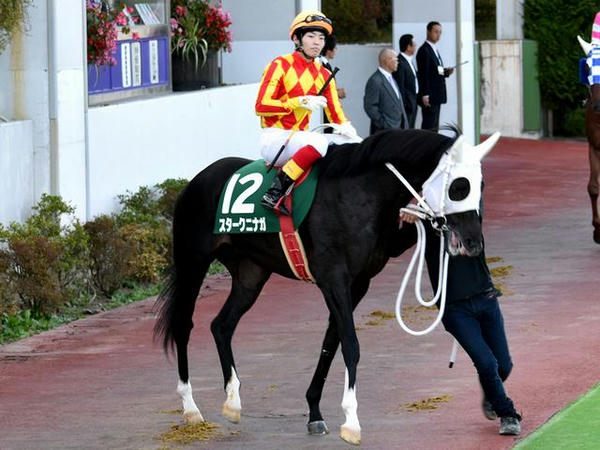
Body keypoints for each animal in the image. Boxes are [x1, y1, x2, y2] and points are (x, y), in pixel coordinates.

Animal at [154, 128, 496, 444]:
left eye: (480, 186)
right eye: (459, 186)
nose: (473, 243)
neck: (359, 192)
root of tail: (196, 180)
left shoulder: (359, 282)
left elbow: (331, 343)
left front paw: (315, 413)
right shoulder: (334, 279)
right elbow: (351, 345)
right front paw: (352, 423)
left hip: (252, 273)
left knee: (222, 325)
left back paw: (233, 402)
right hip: (193, 262)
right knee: (184, 324)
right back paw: (190, 408)